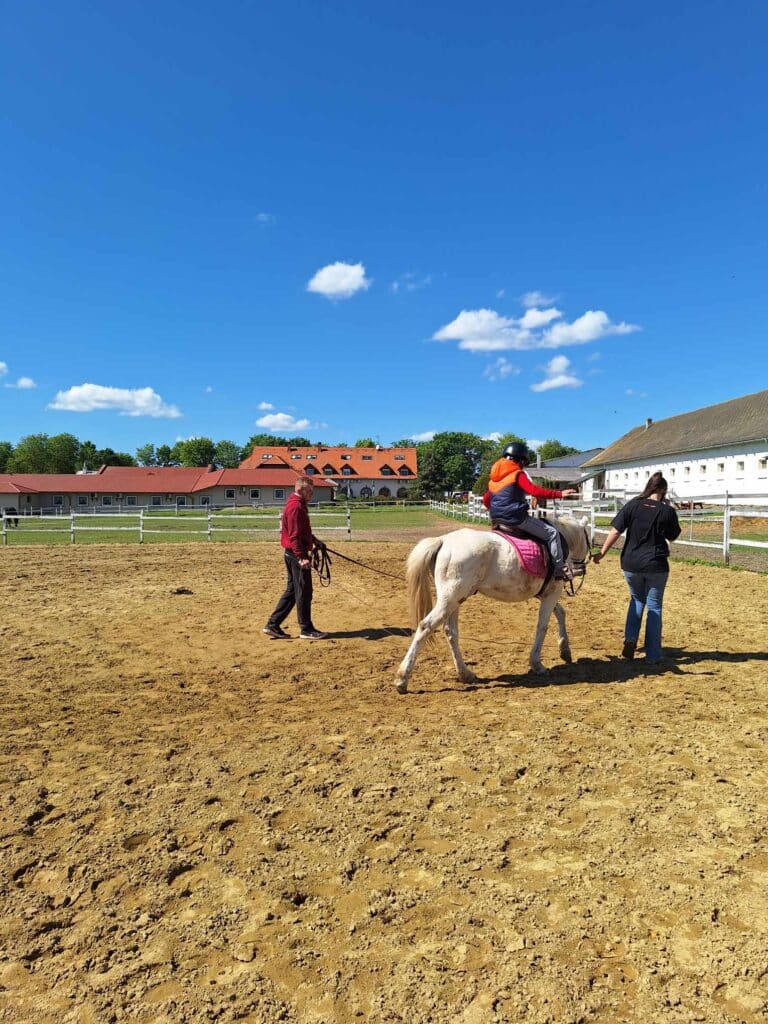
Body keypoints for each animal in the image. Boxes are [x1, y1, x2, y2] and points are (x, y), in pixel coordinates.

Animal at [393, 520, 593, 696]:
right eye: (588, 540)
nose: (580, 570)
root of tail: (443, 540)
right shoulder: (552, 593)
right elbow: (542, 627)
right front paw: (537, 664)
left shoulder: (545, 594)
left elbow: (560, 613)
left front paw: (565, 649)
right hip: (450, 599)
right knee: (425, 627)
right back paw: (402, 679)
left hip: (453, 599)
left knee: (451, 632)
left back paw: (465, 674)